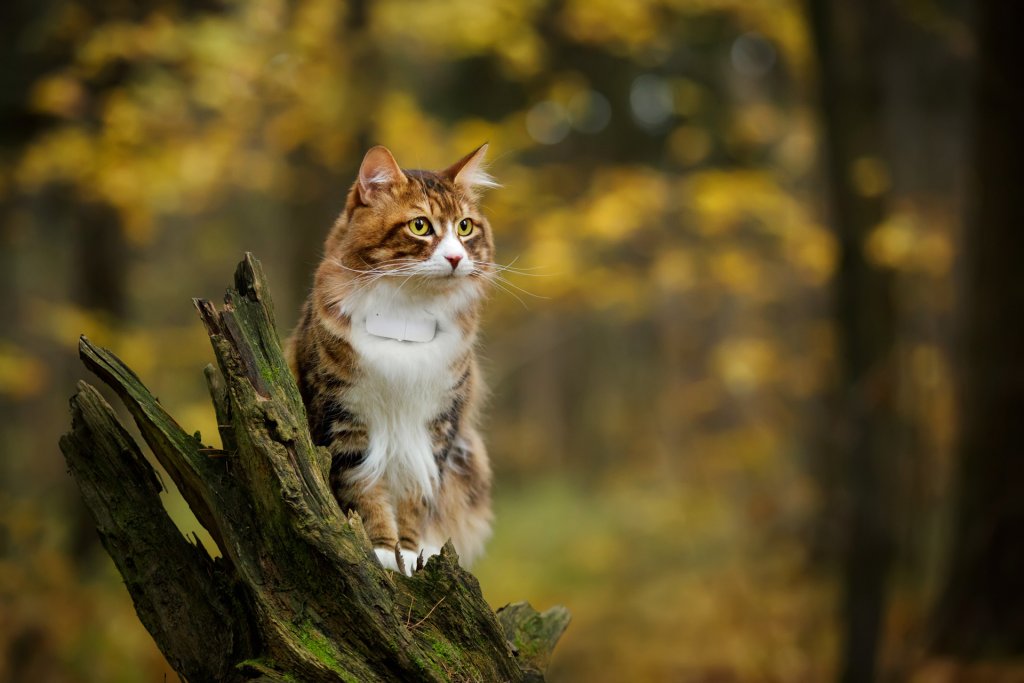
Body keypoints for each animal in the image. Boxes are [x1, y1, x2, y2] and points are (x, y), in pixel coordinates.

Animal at [286, 145, 497, 577]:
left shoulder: (435, 428)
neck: (407, 313)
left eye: (465, 227)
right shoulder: (344, 419)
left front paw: (412, 552)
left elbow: (417, 496)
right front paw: (383, 549)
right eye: (420, 226)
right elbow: (363, 490)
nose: (456, 257)